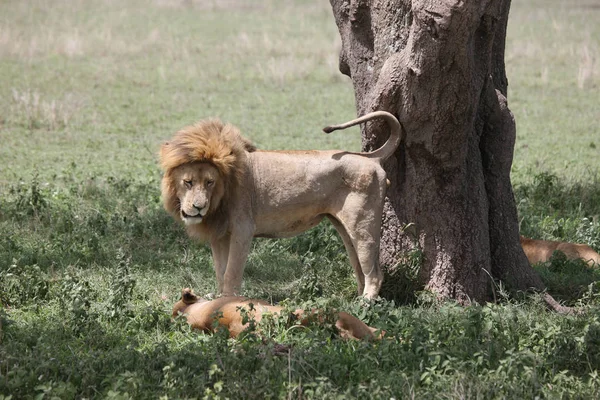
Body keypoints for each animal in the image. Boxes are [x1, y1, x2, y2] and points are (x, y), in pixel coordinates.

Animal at [162, 111, 400, 298]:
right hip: (344, 227)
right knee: (359, 269)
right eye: (188, 182)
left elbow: (231, 273)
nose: (198, 207)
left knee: (375, 273)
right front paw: (218, 299)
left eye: (209, 182)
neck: (221, 193)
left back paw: (364, 306)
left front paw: (228, 303)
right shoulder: (219, 235)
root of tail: (370, 158)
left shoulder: (242, 229)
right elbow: (220, 272)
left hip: (362, 226)